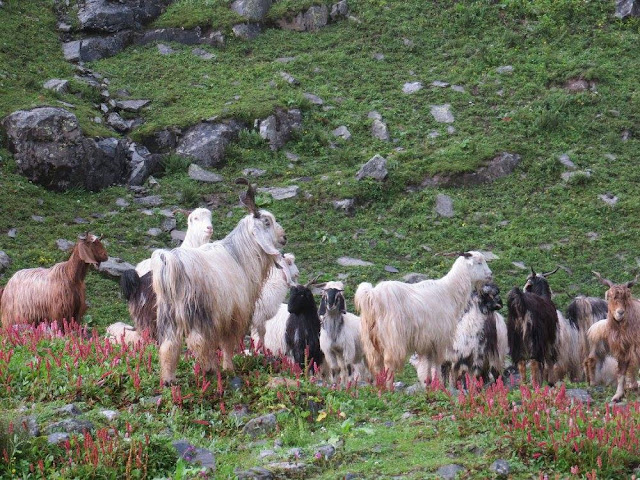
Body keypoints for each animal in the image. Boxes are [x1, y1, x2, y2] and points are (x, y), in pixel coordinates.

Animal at [150, 178, 290, 384]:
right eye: (267, 221)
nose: (283, 237)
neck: (240, 256)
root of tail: (172, 263)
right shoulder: (234, 314)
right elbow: (227, 344)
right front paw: (228, 368)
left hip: (168, 314)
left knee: (169, 344)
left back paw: (169, 379)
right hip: (198, 312)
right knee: (198, 341)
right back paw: (209, 370)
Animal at [352, 249, 492, 388]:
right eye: (479, 262)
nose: (490, 275)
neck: (449, 292)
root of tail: (371, 296)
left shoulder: (427, 341)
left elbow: (428, 363)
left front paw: (429, 384)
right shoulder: (439, 338)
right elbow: (437, 363)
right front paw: (439, 385)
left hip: (371, 341)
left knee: (376, 365)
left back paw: (380, 387)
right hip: (392, 338)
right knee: (389, 364)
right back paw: (389, 388)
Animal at [592, 272, 640, 404]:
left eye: (625, 297)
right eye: (610, 296)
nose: (620, 313)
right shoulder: (622, 350)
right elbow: (621, 372)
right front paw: (617, 396)